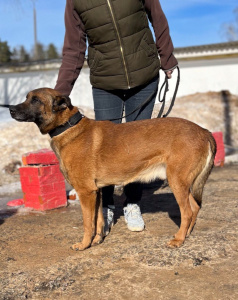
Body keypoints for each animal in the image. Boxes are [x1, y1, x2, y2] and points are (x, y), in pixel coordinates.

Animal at [9, 87, 216, 251]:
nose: (10, 109)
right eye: (27, 97)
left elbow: (88, 222)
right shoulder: (97, 191)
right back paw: (186, 234)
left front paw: (84, 244)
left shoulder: (86, 192)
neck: (67, 127)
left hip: (176, 181)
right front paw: (98, 240)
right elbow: (99, 219)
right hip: (183, 183)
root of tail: (204, 131)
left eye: (35, 100)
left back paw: (179, 239)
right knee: (195, 207)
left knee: (187, 211)